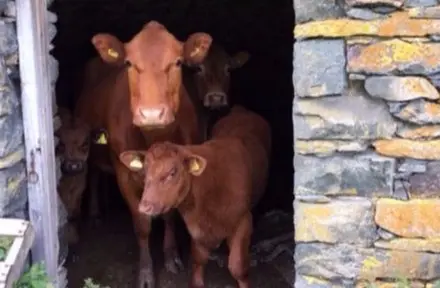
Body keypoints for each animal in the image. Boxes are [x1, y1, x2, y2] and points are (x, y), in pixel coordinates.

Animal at [73, 20, 212, 288]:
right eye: (129, 63)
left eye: (177, 62)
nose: (151, 114)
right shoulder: (124, 173)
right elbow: (142, 224)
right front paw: (146, 273)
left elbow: (169, 215)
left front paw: (171, 257)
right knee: (93, 174)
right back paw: (95, 213)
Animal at [120, 106, 272, 288]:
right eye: (145, 170)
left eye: (172, 172)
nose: (144, 206)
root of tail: (241, 110)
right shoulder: (196, 229)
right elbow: (198, 261)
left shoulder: (243, 221)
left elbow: (238, 267)